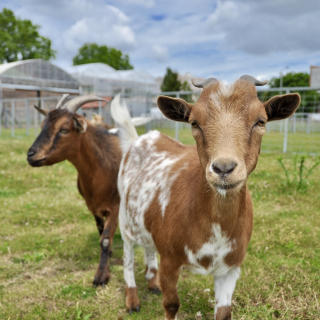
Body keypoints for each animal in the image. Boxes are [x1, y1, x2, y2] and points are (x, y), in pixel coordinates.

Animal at [26, 94, 120, 284]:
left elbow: (105, 240)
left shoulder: (114, 207)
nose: (31, 155)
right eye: (42, 125)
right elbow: (101, 232)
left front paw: (101, 276)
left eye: (64, 129)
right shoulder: (93, 207)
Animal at [110, 78, 300, 320]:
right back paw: (132, 299)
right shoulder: (170, 260)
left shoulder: (231, 267)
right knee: (128, 258)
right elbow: (171, 304)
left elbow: (224, 312)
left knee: (148, 247)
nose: (224, 168)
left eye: (261, 121)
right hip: (125, 221)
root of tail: (139, 138)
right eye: (194, 123)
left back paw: (152, 284)